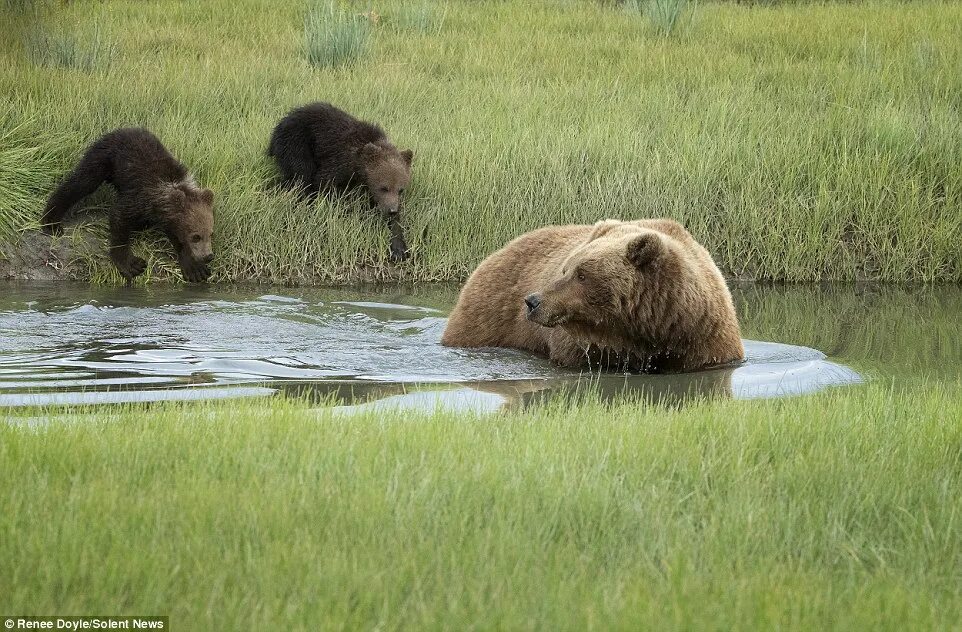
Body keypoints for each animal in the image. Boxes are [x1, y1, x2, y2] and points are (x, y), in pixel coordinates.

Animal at [41, 128, 214, 282]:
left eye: (210, 233)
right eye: (196, 236)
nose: (209, 256)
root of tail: (122, 129)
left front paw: (195, 269)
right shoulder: (141, 197)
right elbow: (120, 217)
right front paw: (132, 264)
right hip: (104, 158)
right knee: (81, 182)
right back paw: (51, 222)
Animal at [266, 103, 412, 262]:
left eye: (400, 189)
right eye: (384, 187)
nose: (392, 210)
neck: (358, 163)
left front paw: (399, 248)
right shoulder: (338, 161)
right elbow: (324, 184)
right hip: (297, 142)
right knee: (301, 176)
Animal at [438, 218, 748, 372]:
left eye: (581, 275)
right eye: (565, 269)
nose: (532, 301)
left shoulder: (703, 339)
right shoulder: (582, 346)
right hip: (486, 316)